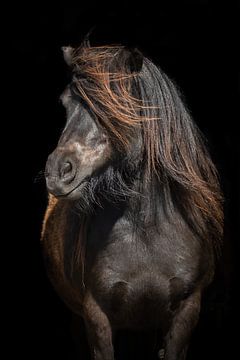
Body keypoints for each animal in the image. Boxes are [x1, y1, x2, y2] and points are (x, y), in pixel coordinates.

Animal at [41, 43, 223, 358]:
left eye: (113, 103)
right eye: (65, 103)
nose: (57, 172)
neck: (146, 232)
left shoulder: (186, 312)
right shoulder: (96, 315)